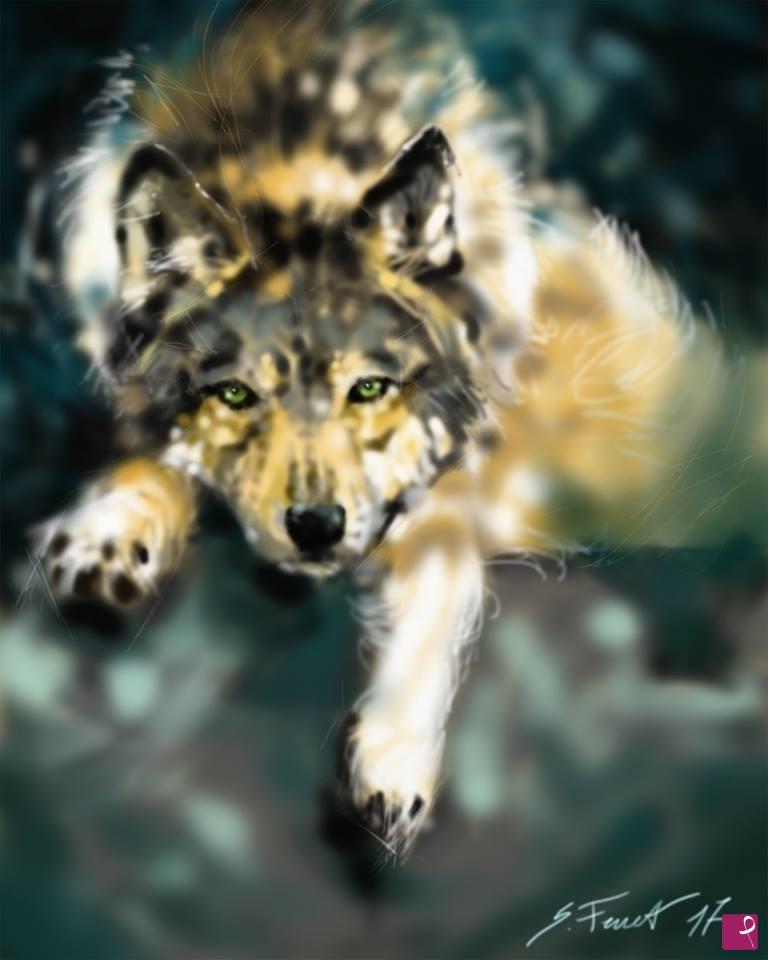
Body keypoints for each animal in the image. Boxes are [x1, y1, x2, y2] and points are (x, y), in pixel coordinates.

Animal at [38, 3, 767, 853]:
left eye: (369, 388)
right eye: (236, 395)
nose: (316, 527)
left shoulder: (449, 473)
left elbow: (429, 614)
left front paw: (392, 756)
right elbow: (156, 450)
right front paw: (110, 529)